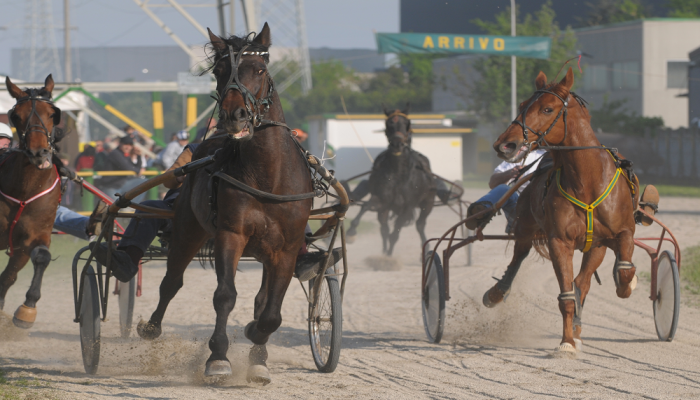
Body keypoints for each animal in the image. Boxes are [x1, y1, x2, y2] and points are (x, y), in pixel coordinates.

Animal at [0, 75, 64, 328]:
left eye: (52, 114)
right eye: (17, 115)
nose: (39, 153)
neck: (25, 191)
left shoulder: (34, 236)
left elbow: (41, 257)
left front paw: (27, 309)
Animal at [135, 22, 312, 384]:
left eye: (259, 69)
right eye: (219, 71)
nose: (235, 115)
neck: (268, 174)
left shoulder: (287, 247)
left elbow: (271, 313)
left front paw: (256, 346)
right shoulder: (231, 233)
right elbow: (225, 295)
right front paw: (218, 358)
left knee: (262, 300)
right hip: (187, 228)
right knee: (171, 282)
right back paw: (151, 328)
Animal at [346, 105, 438, 256]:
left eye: (407, 123)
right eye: (389, 124)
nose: (397, 144)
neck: (398, 173)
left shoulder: (408, 206)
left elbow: (396, 231)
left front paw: (389, 255)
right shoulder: (382, 199)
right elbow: (366, 206)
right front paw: (351, 232)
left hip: (428, 203)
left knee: (420, 224)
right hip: (386, 208)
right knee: (384, 227)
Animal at [486, 68, 640, 356]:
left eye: (547, 108)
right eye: (522, 105)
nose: (504, 145)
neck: (587, 182)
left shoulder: (620, 233)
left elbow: (624, 271)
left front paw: (627, 283)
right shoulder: (559, 241)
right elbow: (566, 296)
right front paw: (567, 341)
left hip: (595, 247)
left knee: (583, 282)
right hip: (525, 225)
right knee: (519, 255)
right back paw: (497, 292)